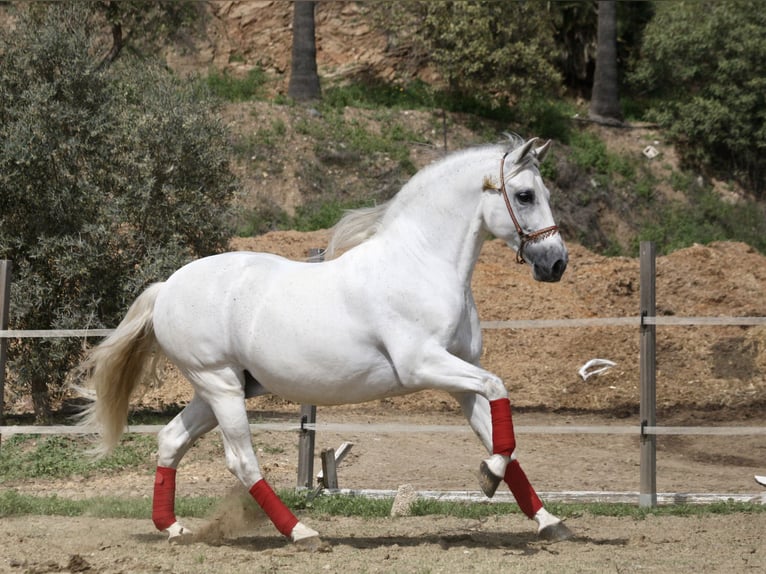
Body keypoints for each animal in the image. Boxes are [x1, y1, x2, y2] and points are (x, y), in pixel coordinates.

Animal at [76, 136, 568, 548]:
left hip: (220, 389)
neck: (421, 264)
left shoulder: (460, 381)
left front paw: (546, 519)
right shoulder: (424, 365)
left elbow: (500, 437)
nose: (556, 263)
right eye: (525, 195)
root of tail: (167, 287)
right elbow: (499, 390)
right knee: (242, 461)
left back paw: (174, 528)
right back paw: (302, 532)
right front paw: (489, 477)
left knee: (171, 439)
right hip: (219, 385)